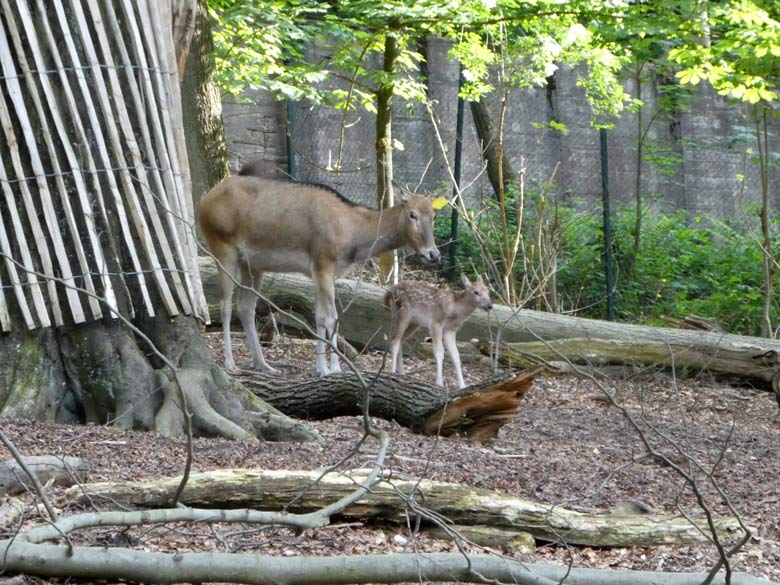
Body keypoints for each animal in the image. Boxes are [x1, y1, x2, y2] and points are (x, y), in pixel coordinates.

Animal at [198, 165, 442, 374]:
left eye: (434, 215)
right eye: (412, 214)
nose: (434, 254)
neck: (353, 234)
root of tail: (203, 200)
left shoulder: (320, 271)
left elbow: (319, 317)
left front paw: (321, 368)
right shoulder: (323, 262)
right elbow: (332, 318)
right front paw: (334, 368)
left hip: (252, 265)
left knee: (246, 306)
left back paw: (263, 364)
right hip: (223, 249)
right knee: (225, 305)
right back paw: (230, 363)